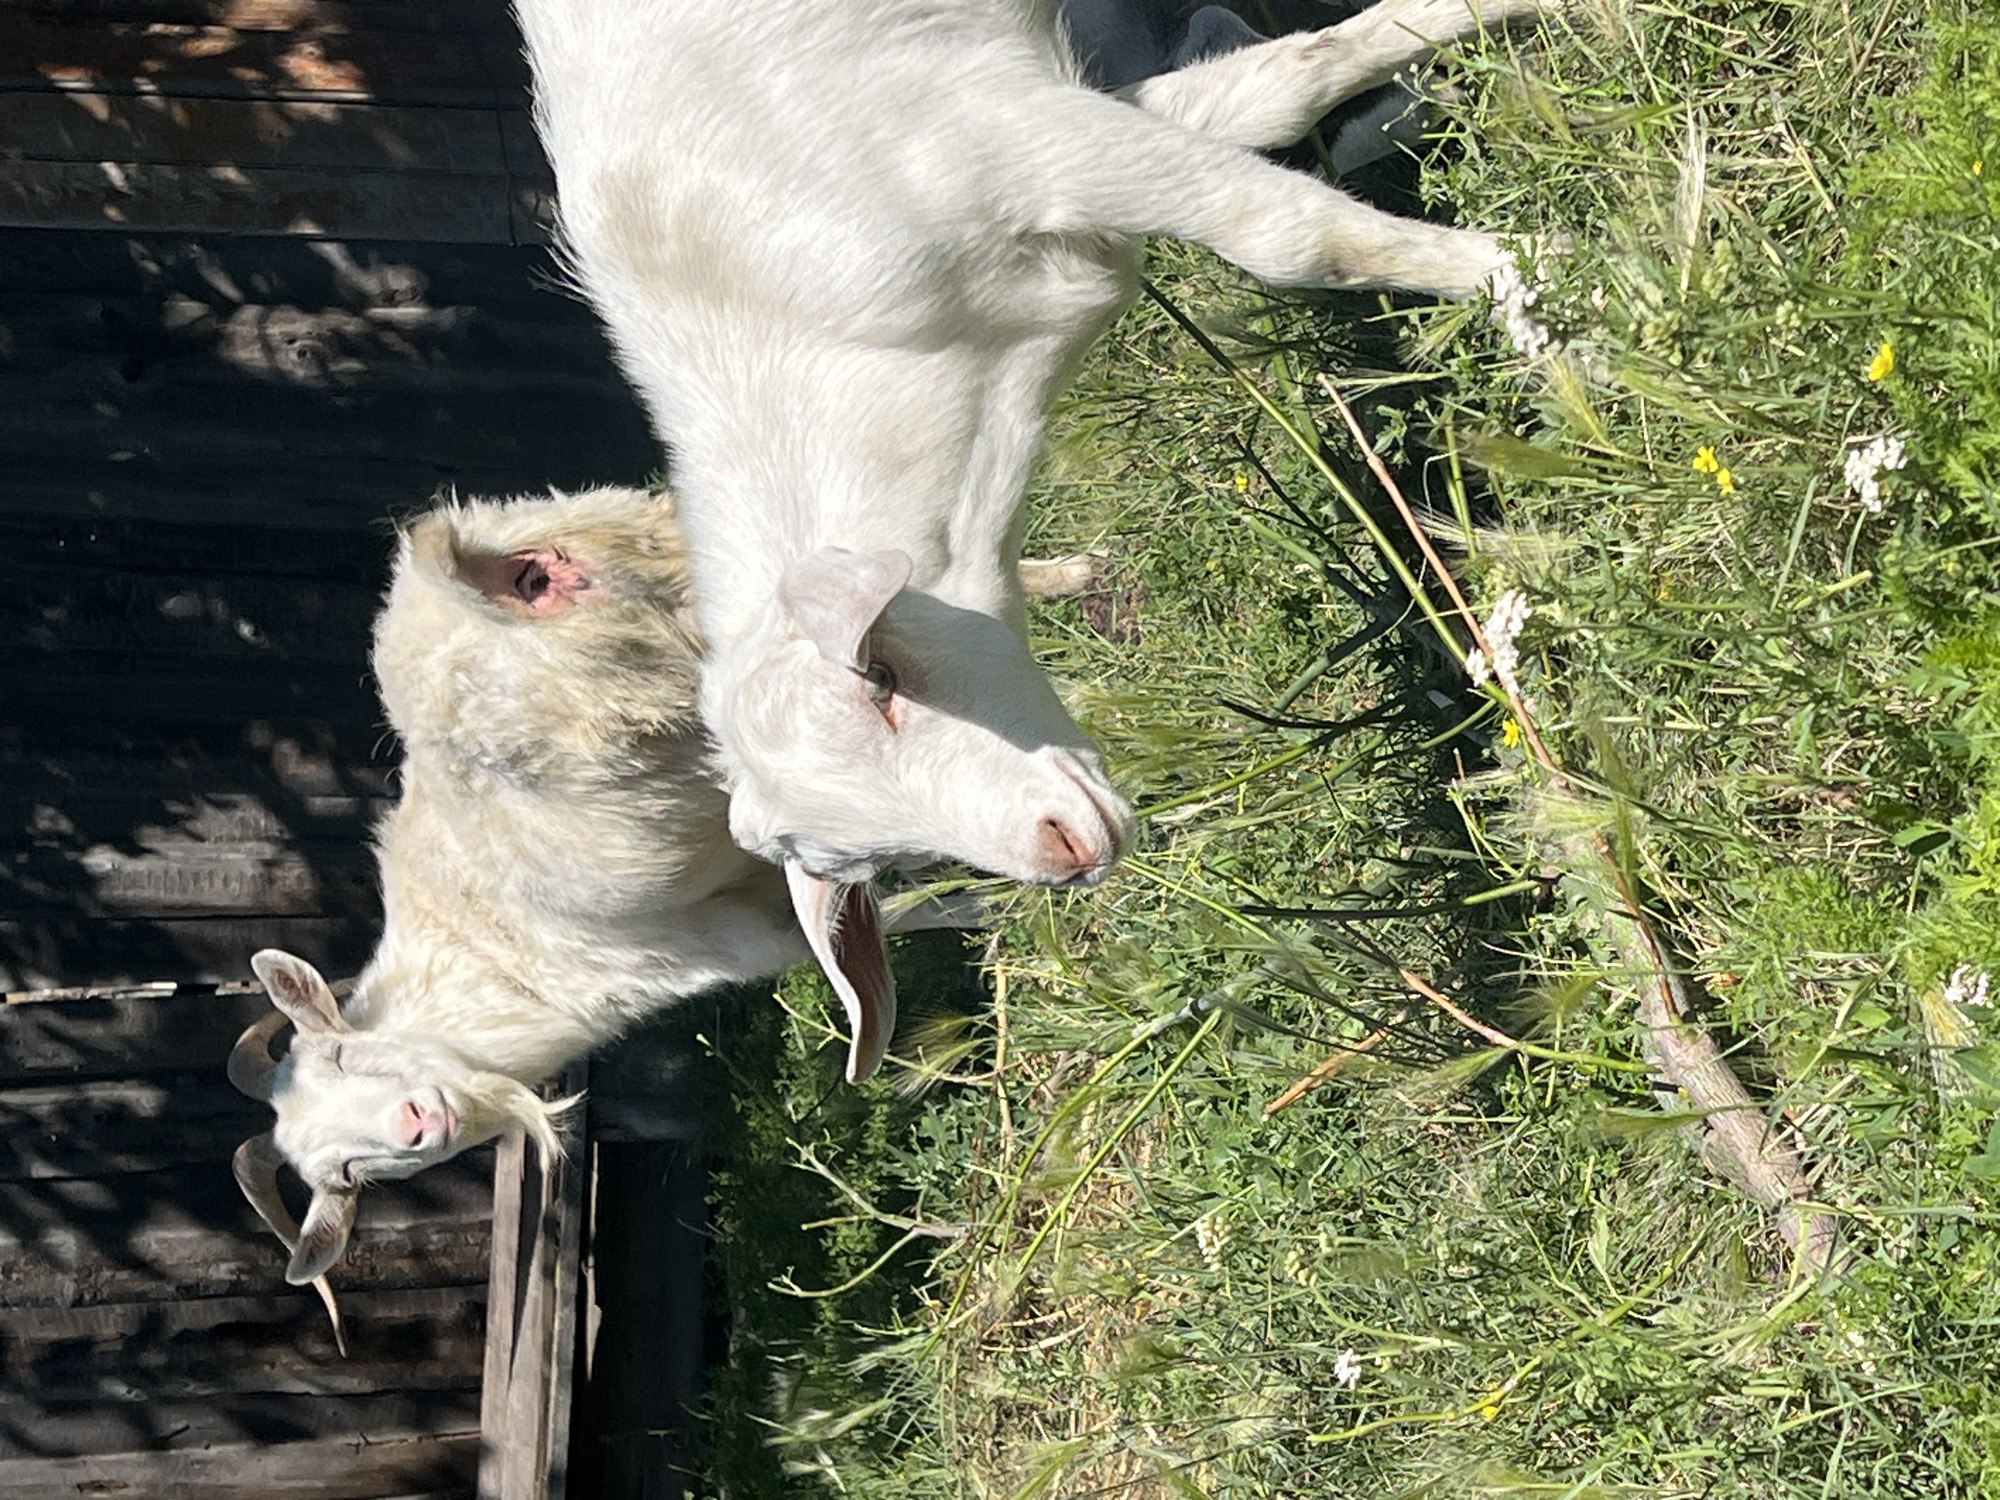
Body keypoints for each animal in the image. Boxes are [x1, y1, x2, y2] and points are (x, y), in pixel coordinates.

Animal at [229, 486, 932, 1298]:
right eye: (346, 1173)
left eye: (341, 1056)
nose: (418, 1122)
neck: (496, 959)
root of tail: (466, 568)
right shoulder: (746, 924)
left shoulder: (738, 930)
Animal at [515, 0, 1550, 939]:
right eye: (882, 861)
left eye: (883, 680)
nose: (1064, 851)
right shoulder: (1046, 131)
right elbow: (1264, 94)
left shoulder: (1009, 131)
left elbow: (1288, 216)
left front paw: (1526, 278)